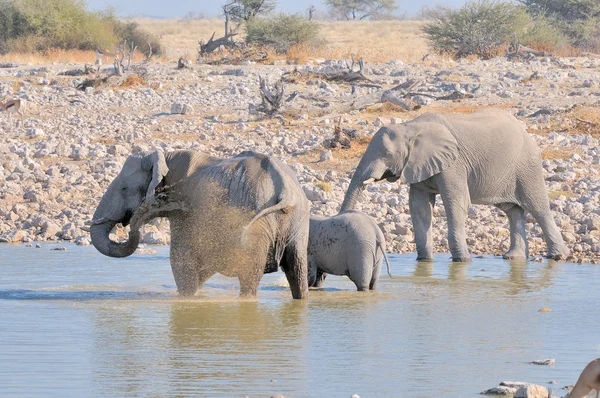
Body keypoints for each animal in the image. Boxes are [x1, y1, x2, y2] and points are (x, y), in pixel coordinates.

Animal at [92, 149, 314, 298]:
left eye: (123, 188)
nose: (132, 222)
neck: (166, 157)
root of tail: (285, 189)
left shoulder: (186, 210)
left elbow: (180, 261)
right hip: (298, 221)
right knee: (297, 271)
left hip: (259, 225)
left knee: (250, 277)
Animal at [340, 109, 568, 264]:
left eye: (386, 154)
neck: (410, 127)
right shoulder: (418, 165)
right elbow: (420, 208)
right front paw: (424, 262)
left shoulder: (454, 163)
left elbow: (456, 203)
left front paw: (462, 261)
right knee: (513, 211)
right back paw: (514, 258)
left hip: (527, 166)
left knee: (538, 208)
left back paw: (558, 256)